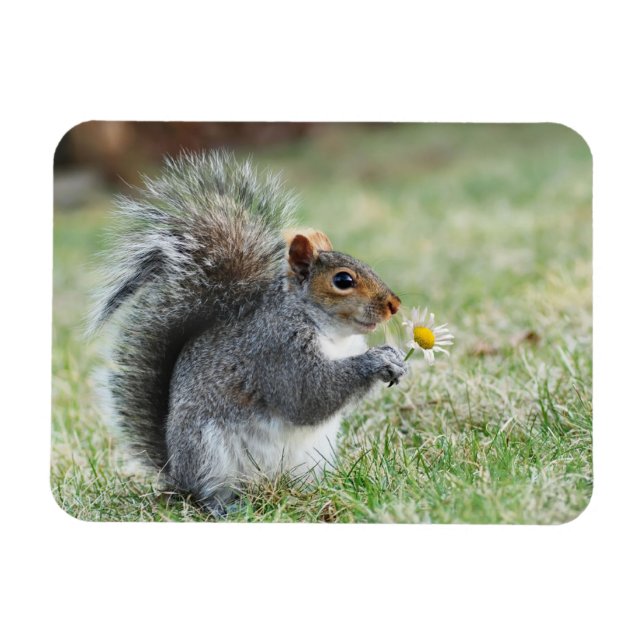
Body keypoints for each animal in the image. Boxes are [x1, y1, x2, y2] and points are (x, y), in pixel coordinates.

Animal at [90, 151, 408, 515]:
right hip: (208, 453)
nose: (394, 305)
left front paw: (397, 359)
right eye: (343, 280)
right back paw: (226, 508)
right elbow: (308, 394)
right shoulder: (276, 350)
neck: (332, 334)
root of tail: (175, 473)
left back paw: (311, 494)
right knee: (206, 494)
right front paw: (377, 361)